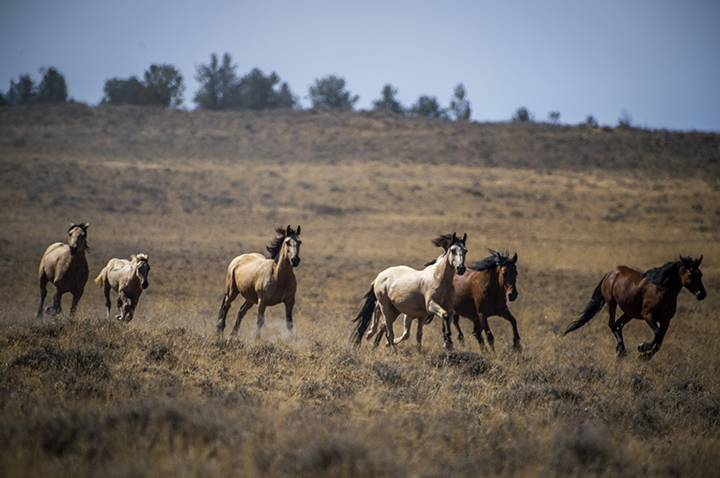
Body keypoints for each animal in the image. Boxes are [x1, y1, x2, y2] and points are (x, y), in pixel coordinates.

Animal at [564, 256, 706, 359]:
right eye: (690, 274)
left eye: (700, 274)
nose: (702, 294)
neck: (661, 291)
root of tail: (611, 273)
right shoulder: (647, 315)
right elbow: (657, 334)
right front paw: (642, 347)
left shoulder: (666, 320)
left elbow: (659, 341)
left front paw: (645, 355)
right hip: (612, 303)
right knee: (612, 324)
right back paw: (621, 349)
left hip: (629, 313)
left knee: (618, 324)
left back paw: (621, 350)